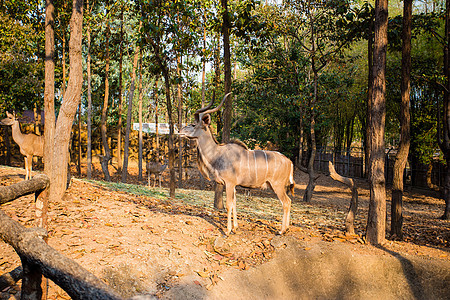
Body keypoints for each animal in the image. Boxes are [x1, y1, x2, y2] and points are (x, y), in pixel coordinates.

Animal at [178, 92, 298, 236]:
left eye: (193, 125)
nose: (180, 130)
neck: (218, 153)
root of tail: (289, 161)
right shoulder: (233, 185)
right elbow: (235, 204)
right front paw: (235, 228)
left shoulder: (229, 183)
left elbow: (229, 205)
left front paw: (228, 230)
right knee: (289, 201)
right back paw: (286, 228)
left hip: (277, 185)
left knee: (286, 202)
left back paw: (282, 230)